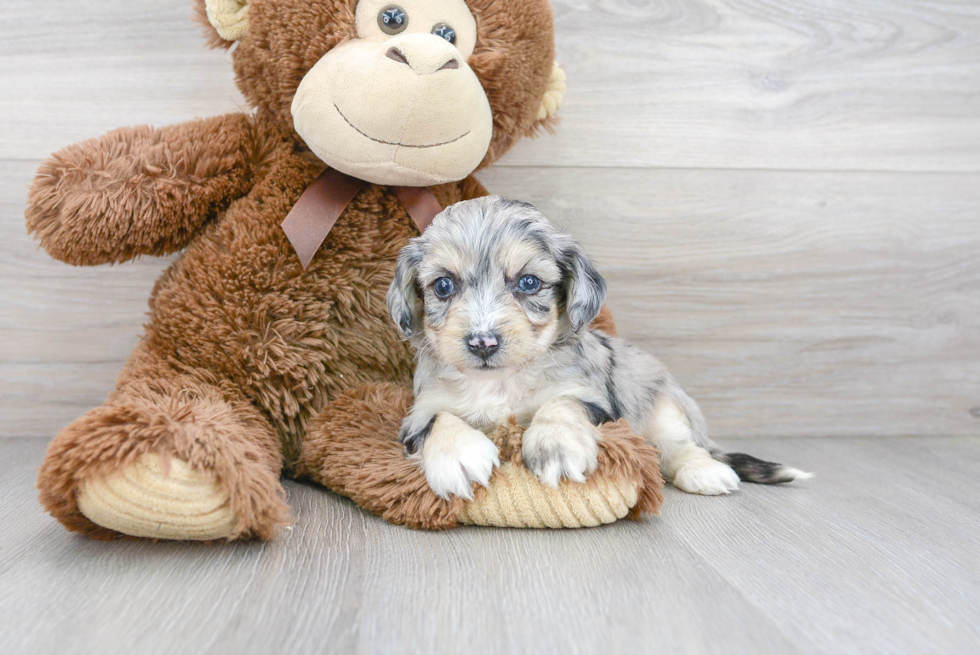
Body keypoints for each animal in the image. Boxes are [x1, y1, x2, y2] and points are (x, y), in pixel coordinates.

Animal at [386, 197, 808, 500]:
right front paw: (459, 455)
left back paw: (705, 472)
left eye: (528, 282)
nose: (482, 342)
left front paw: (556, 446)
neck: (501, 383)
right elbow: (439, 420)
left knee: (679, 448)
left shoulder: (595, 401)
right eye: (443, 286)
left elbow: (561, 404)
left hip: (663, 408)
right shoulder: (417, 413)